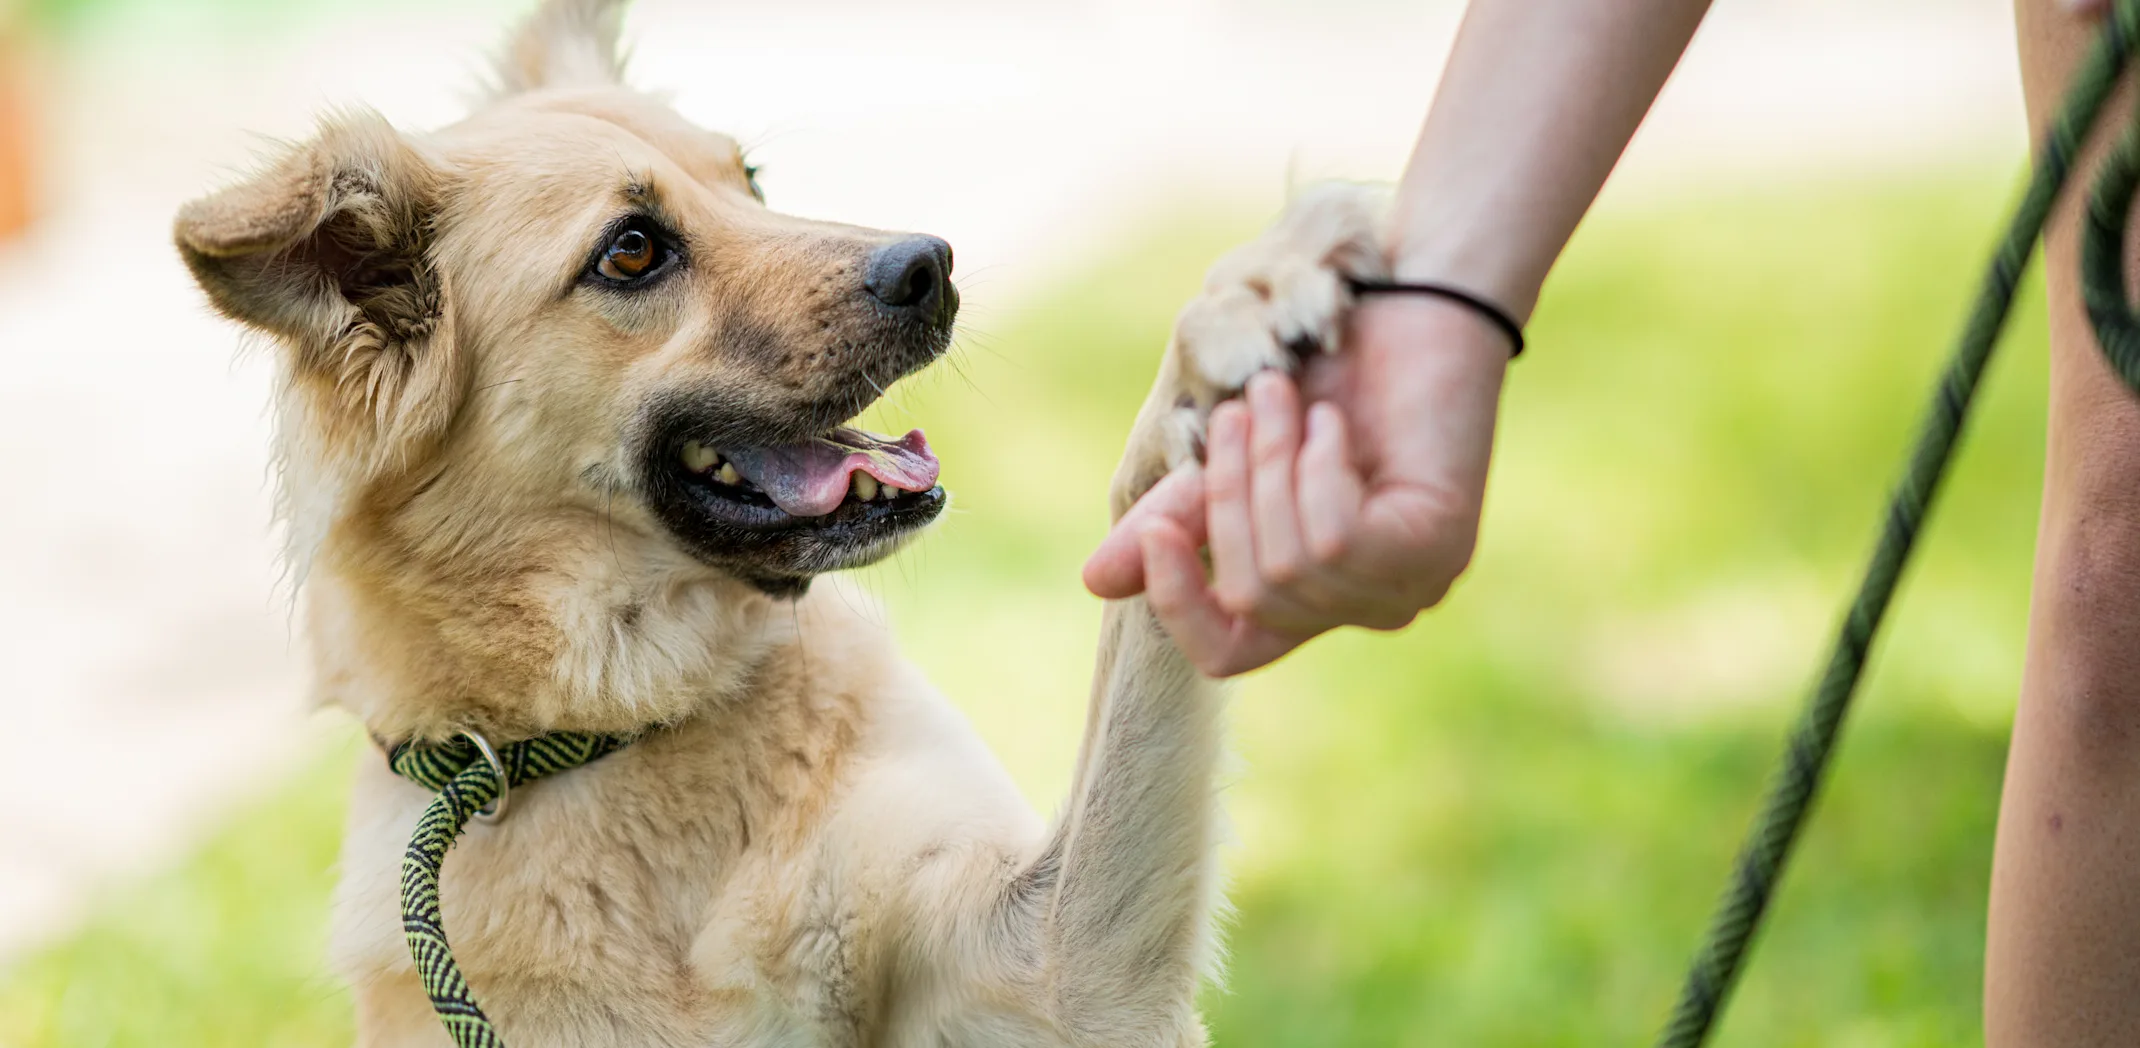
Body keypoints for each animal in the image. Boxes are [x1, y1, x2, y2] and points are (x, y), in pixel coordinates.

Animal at [175, 0, 1395, 1039]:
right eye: (631, 249)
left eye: (747, 176)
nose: (933, 264)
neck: (633, 722)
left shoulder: (1050, 974)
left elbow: (1136, 565)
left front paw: (1247, 304)